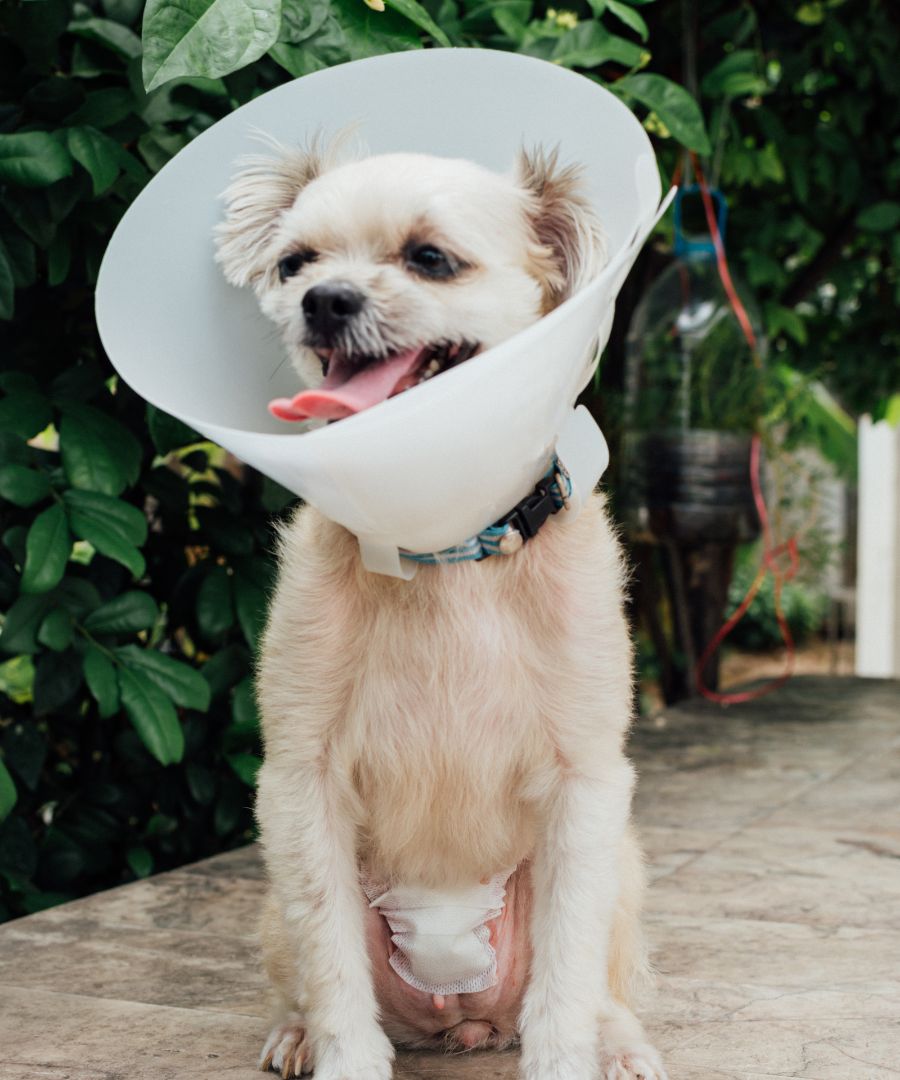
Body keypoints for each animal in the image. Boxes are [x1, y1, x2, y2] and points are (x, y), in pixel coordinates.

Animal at [213, 141, 665, 1080]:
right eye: (295, 262)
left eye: (429, 257)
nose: (323, 300)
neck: (448, 554)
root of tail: (463, 1020)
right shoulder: (301, 789)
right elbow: (334, 972)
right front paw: (341, 1056)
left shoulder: (586, 789)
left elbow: (566, 984)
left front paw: (570, 1059)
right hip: (275, 905)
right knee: (304, 976)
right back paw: (295, 1033)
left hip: (624, 865)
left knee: (600, 985)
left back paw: (618, 1043)